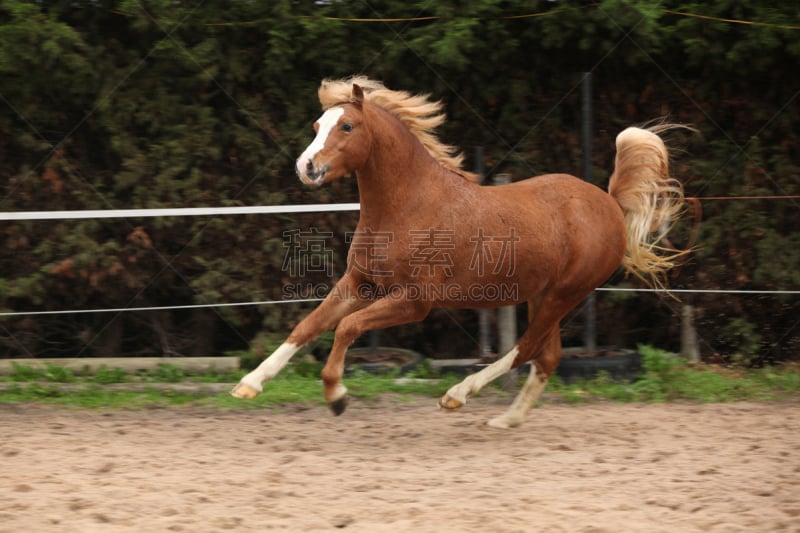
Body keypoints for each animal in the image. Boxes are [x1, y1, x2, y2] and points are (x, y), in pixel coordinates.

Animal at [233, 76, 688, 428]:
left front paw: (336, 396)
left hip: (565, 293)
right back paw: (507, 419)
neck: (408, 206)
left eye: (346, 125)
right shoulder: (360, 283)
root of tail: (609, 203)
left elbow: (345, 328)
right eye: (317, 124)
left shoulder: (415, 302)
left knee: (527, 348)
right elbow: (308, 325)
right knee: (548, 356)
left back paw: (457, 395)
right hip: (543, 294)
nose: (306, 167)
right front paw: (249, 385)